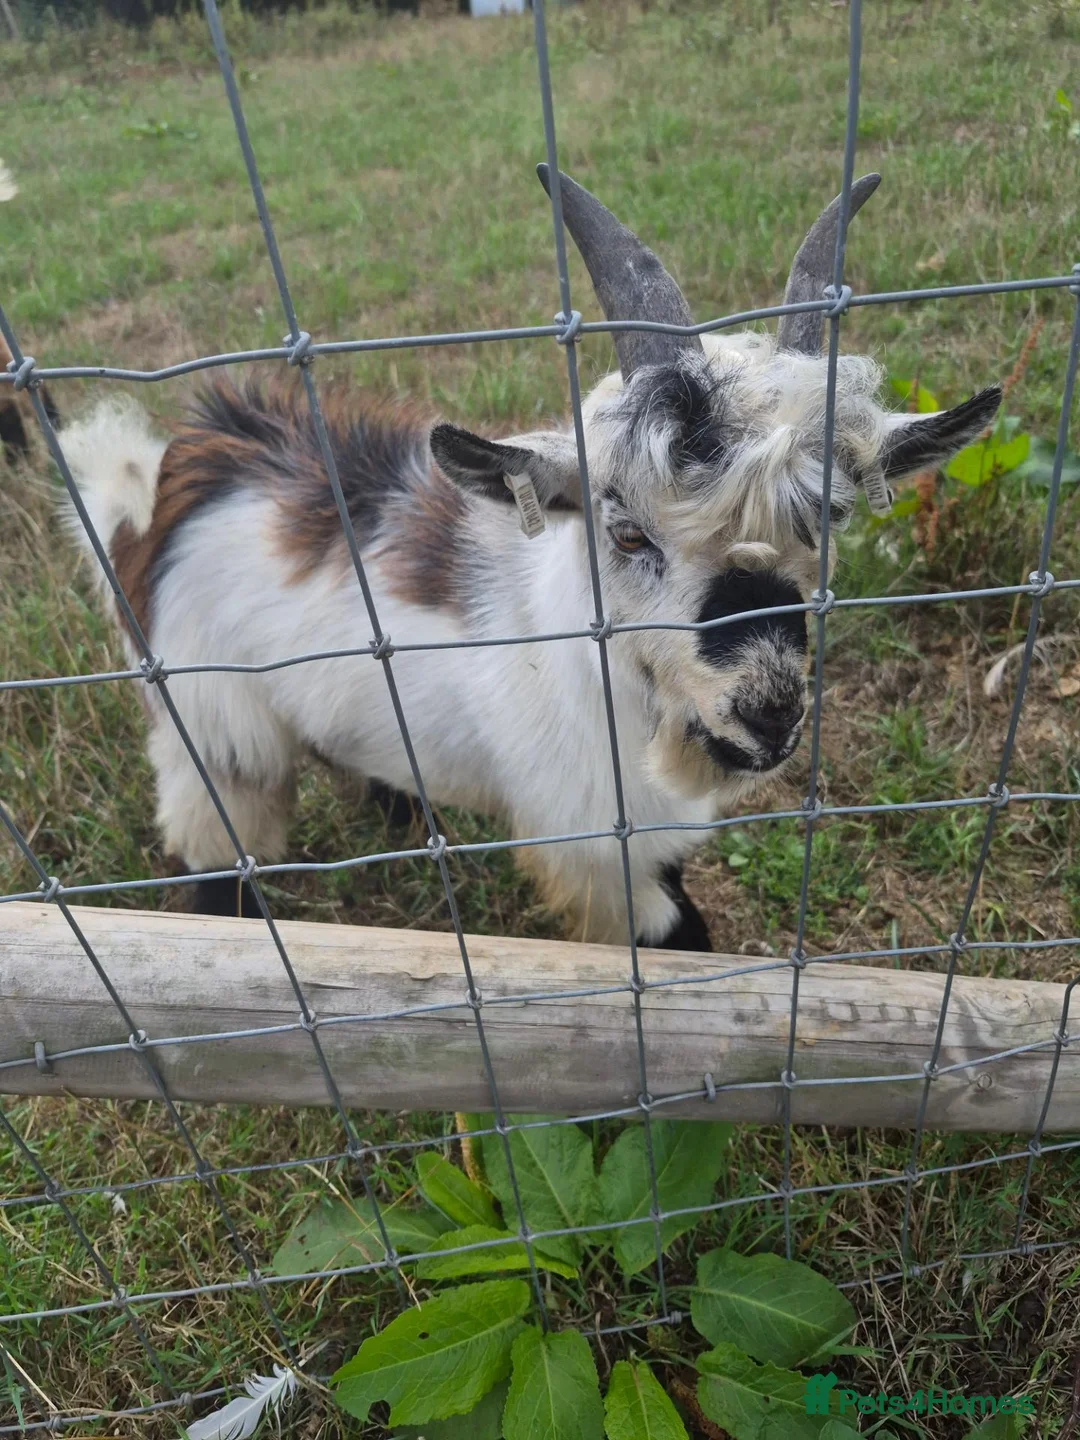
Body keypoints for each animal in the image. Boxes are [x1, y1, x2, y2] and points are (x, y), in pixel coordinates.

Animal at [60, 168, 1000, 948]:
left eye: (825, 520)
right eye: (627, 532)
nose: (768, 710)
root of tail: (166, 484)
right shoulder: (593, 843)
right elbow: (674, 935)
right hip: (212, 725)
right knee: (217, 847)